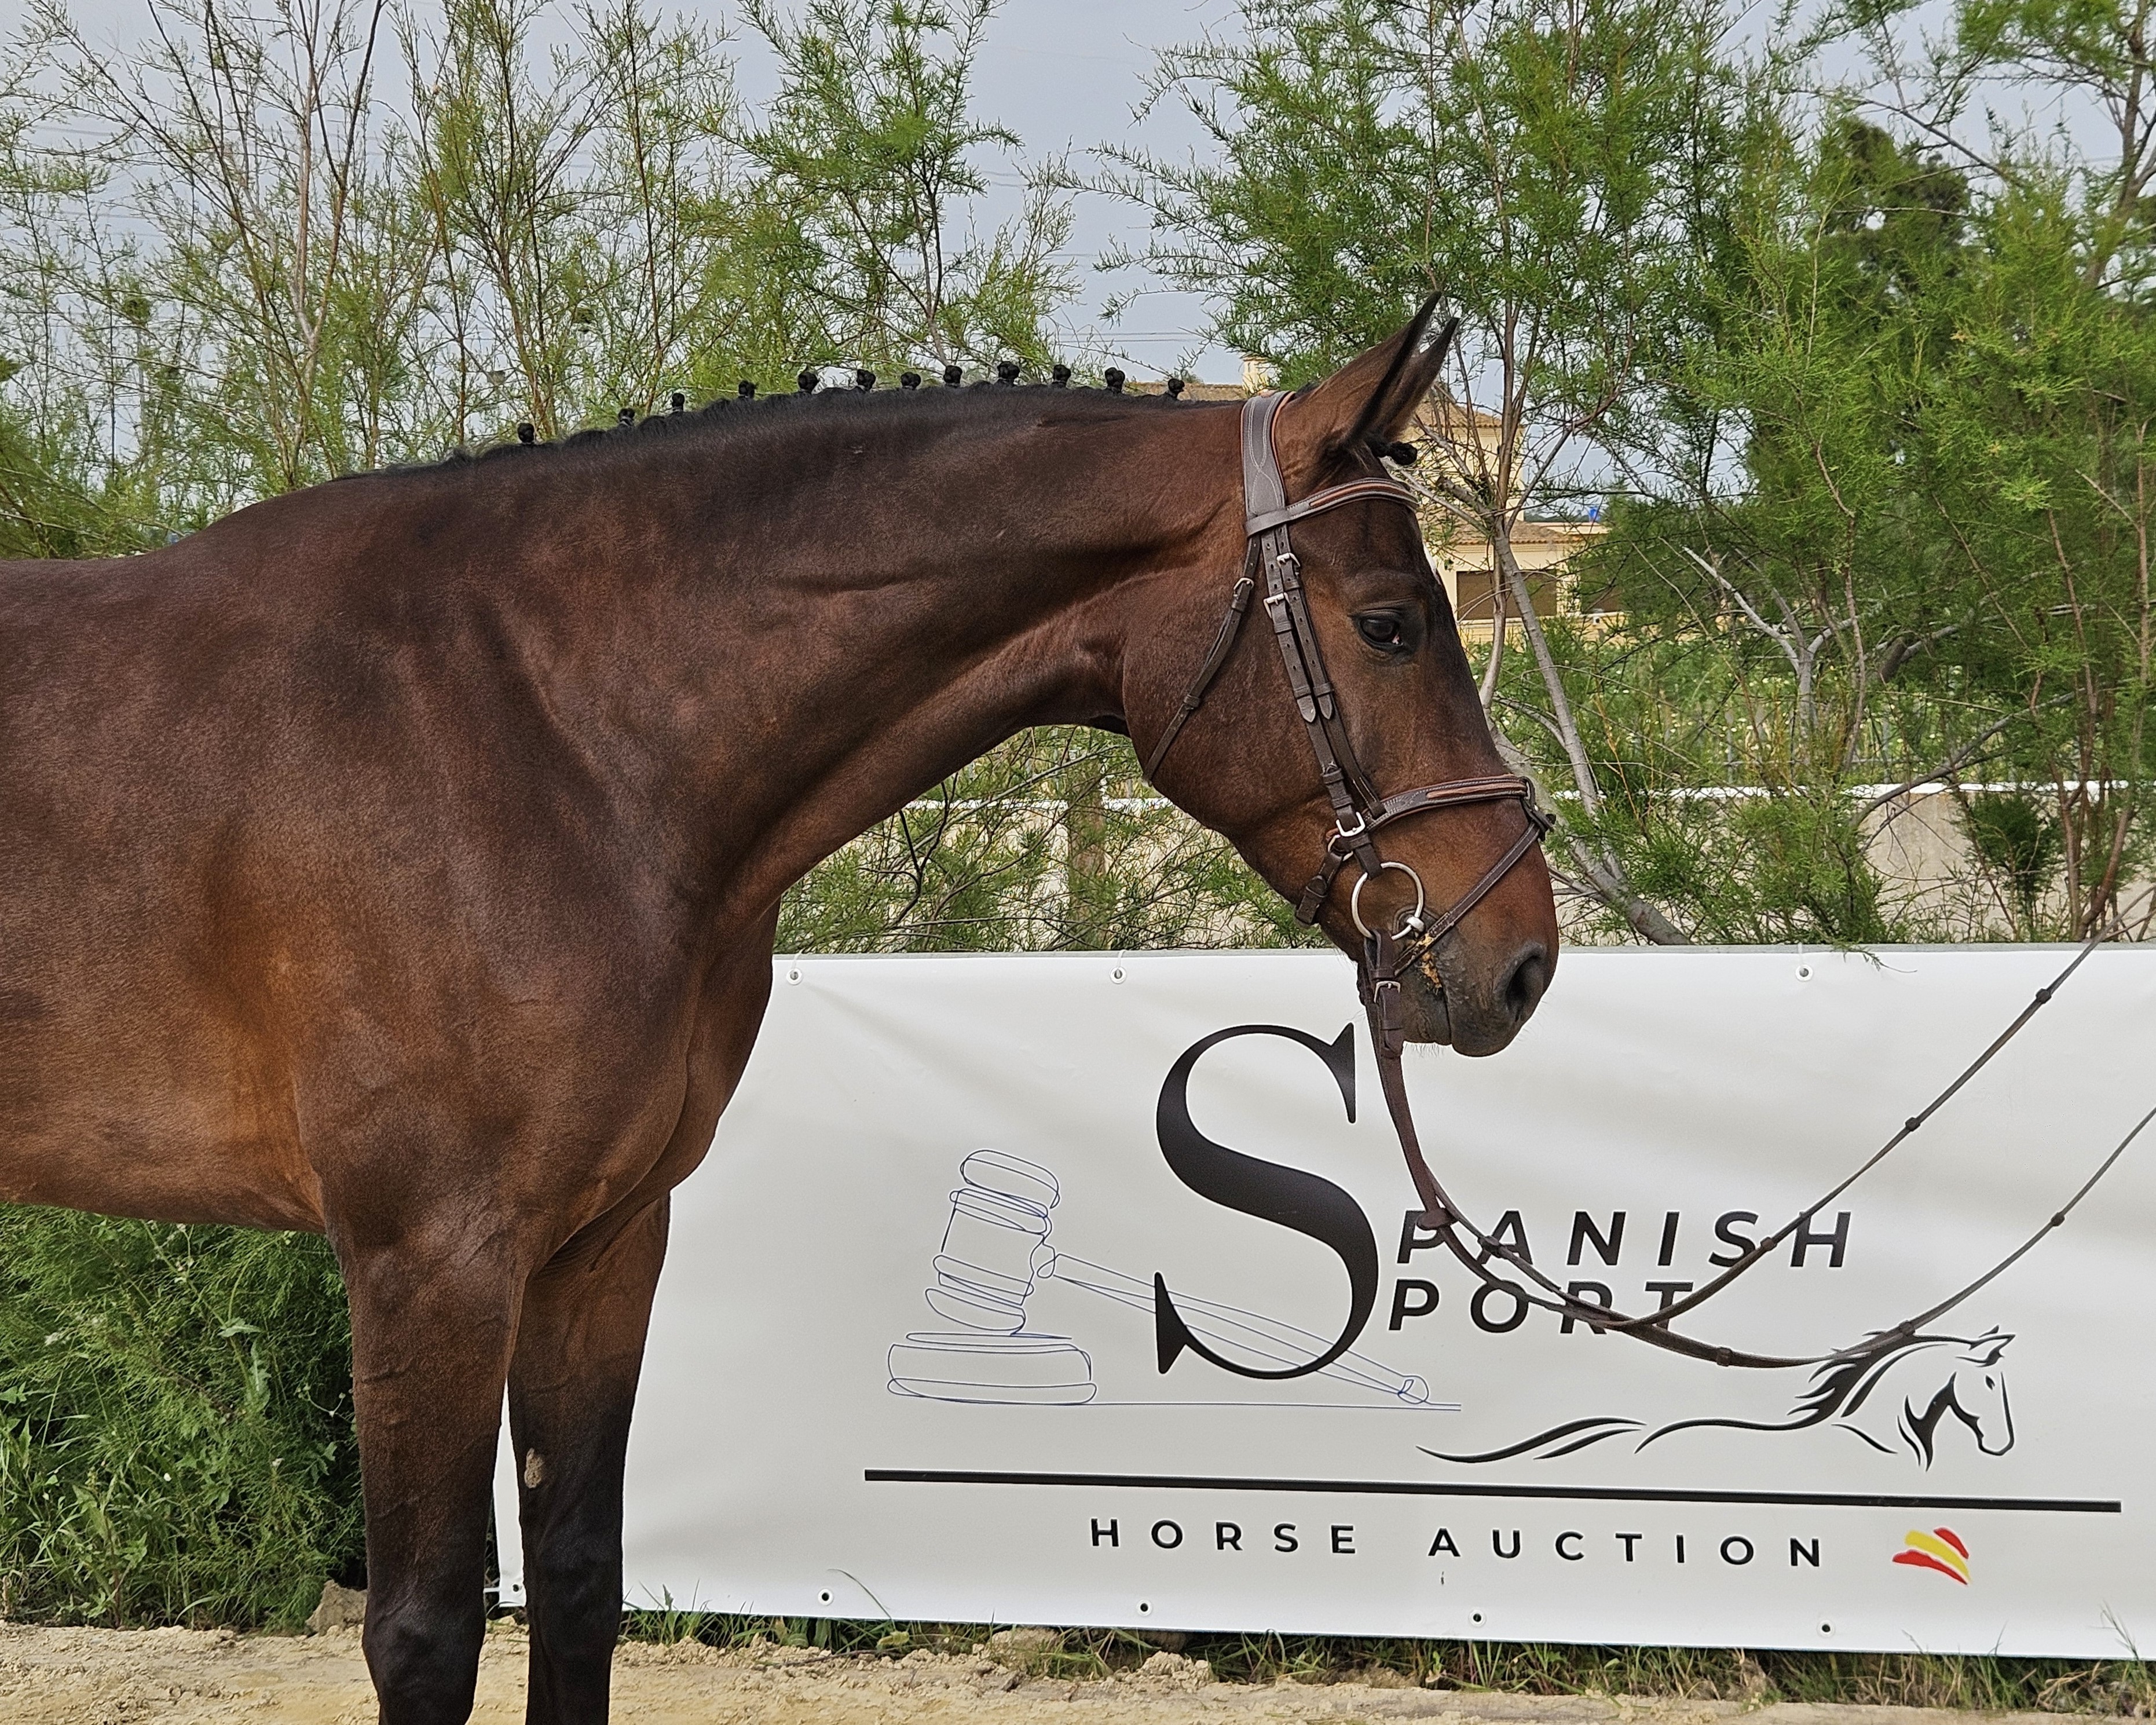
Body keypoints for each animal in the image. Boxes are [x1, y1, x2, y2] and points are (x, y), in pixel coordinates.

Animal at [0, 298, 1558, 1723]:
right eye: (1388, 624)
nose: (1520, 958)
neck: (540, 735)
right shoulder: (426, 1258)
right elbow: (428, 1632)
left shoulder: (601, 1247)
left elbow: (577, 1583)